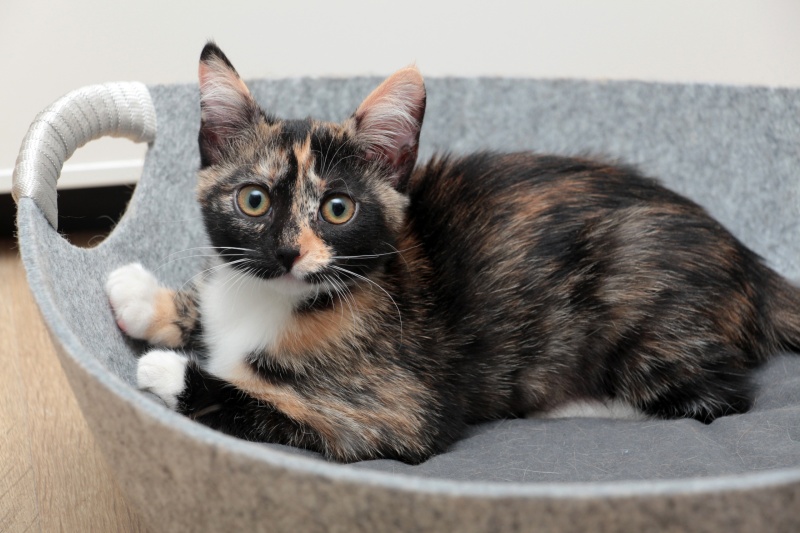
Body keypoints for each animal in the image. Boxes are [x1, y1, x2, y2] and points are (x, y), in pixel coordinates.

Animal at [105, 41, 800, 464]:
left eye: (338, 209)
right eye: (253, 200)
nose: (286, 252)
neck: (273, 299)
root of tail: (751, 264)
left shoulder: (396, 410)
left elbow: (265, 402)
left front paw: (167, 370)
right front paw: (141, 296)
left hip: (643, 313)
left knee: (717, 400)